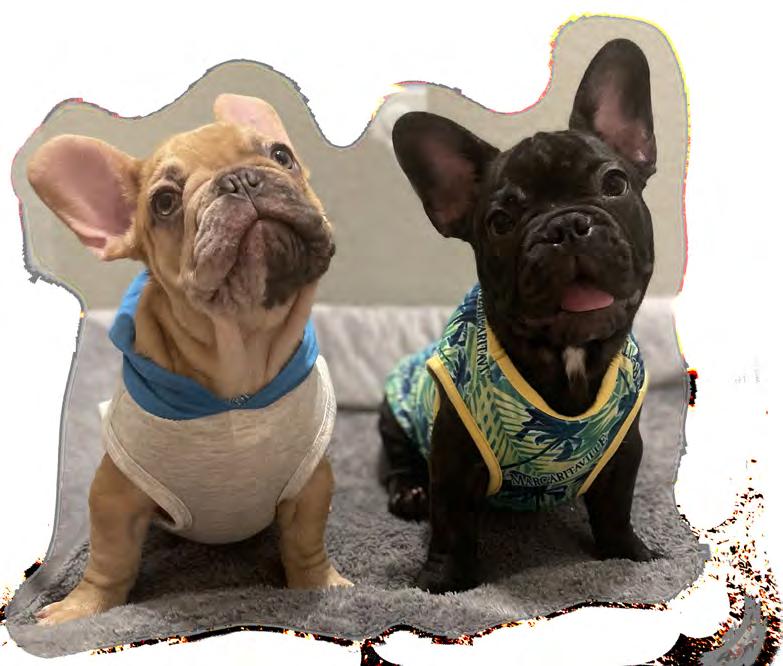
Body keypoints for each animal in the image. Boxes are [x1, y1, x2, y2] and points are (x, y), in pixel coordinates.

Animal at [27, 94, 351, 625]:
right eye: (164, 202)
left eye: (281, 155)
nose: (241, 179)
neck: (239, 350)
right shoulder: (115, 493)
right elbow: (108, 559)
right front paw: (81, 609)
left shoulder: (310, 484)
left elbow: (306, 543)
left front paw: (320, 586)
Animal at [379, 39, 659, 593]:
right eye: (501, 221)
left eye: (615, 183)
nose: (567, 226)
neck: (567, 357)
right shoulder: (454, 460)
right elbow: (451, 525)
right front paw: (442, 583)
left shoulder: (624, 453)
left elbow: (616, 509)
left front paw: (632, 556)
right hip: (394, 415)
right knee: (398, 463)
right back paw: (408, 493)